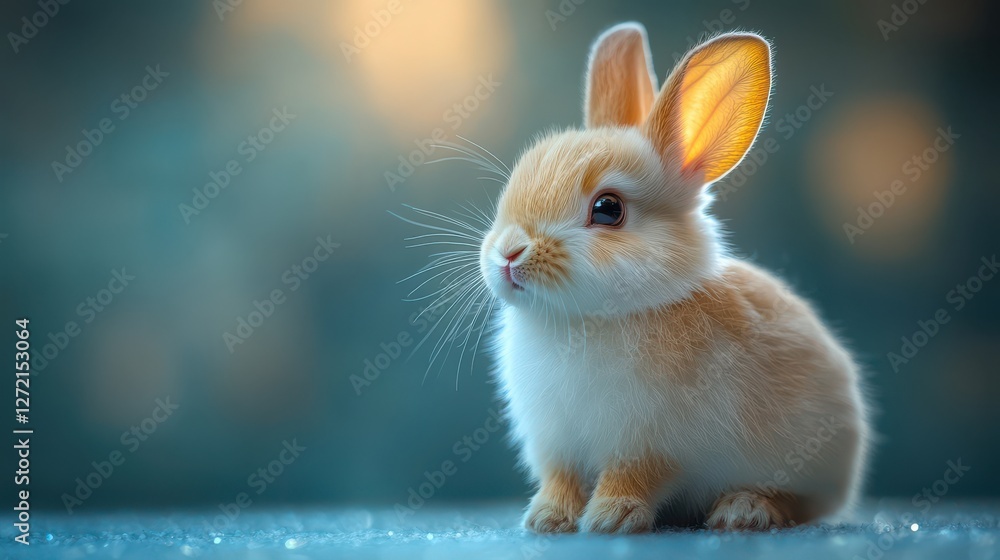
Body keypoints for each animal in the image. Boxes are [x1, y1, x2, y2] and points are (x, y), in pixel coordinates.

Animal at [475, 23, 870, 533]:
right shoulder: (556, 444)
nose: (508, 253)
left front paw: (611, 519)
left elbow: (632, 477)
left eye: (608, 209)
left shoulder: (652, 445)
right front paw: (547, 518)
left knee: (797, 503)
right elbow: (561, 481)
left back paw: (743, 511)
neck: (587, 319)